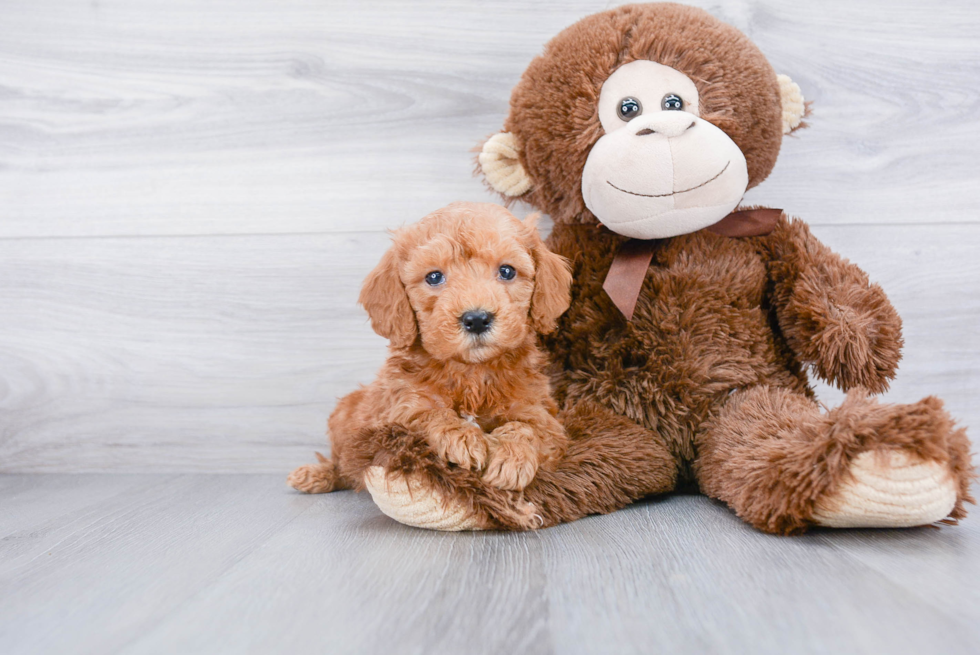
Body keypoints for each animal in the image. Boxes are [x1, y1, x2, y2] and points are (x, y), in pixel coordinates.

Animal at [288, 202, 572, 494]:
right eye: (434, 277)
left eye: (507, 271)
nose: (477, 319)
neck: (471, 372)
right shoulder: (398, 411)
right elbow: (428, 414)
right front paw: (461, 437)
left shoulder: (543, 416)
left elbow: (530, 428)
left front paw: (512, 456)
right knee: (342, 463)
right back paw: (316, 474)